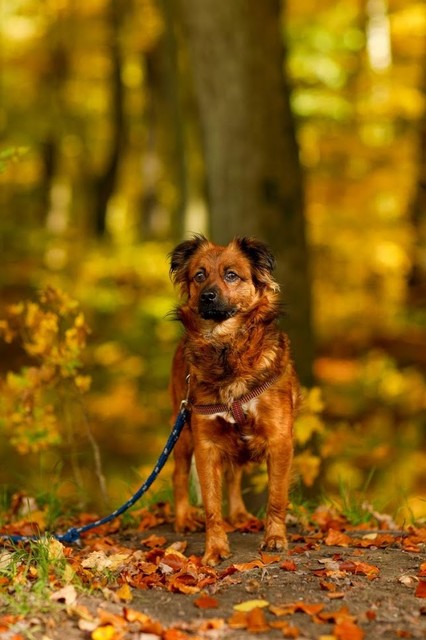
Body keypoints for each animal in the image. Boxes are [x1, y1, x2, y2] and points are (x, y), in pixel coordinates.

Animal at [168, 236, 298, 564]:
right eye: (199, 275)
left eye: (231, 275)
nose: (207, 296)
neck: (226, 348)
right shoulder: (205, 444)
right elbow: (212, 505)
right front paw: (214, 548)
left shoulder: (279, 439)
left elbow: (276, 496)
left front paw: (275, 538)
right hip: (182, 431)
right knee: (178, 475)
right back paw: (183, 518)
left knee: (234, 475)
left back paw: (239, 514)